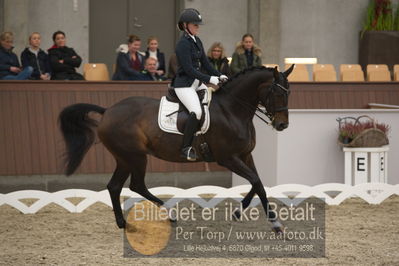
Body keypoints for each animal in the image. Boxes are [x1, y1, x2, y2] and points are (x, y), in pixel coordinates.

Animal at [59, 64, 296, 231]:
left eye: (289, 93)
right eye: (277, 93)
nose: (282, 125)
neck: (232, 110)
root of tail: (108, 110)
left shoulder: (245, 155)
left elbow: (258, 182)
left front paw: (238, 212)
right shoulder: (228, 158)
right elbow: (257, 182)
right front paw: (276, 224)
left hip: (125, 158)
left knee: (115, 186)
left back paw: (125, 223)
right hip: (134, 157)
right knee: (135, 185)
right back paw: (167, 215)